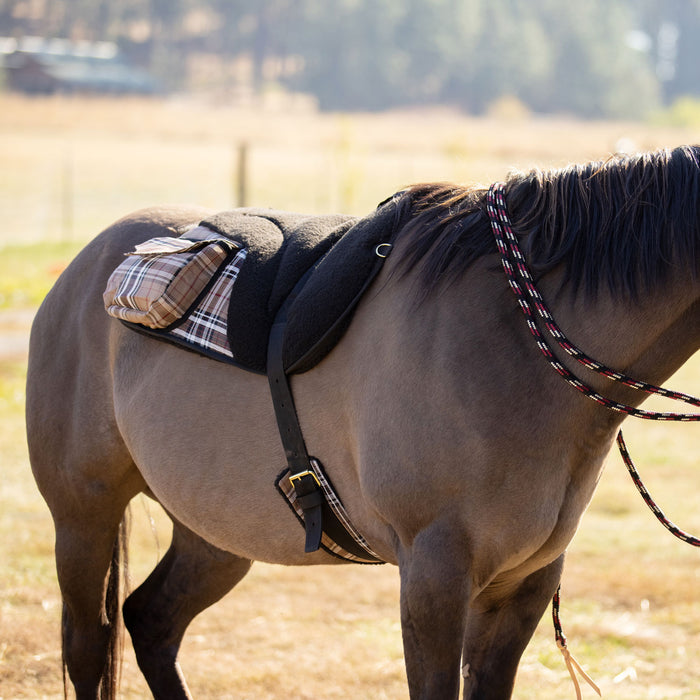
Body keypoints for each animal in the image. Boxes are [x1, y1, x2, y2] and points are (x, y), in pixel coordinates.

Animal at [26, 145, 700, 696]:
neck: (512, 341)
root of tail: (90, 265)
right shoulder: (435, 577)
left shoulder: (525, 584)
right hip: (83, 518)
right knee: (87, 647)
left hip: (213, 530)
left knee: (152, 622)